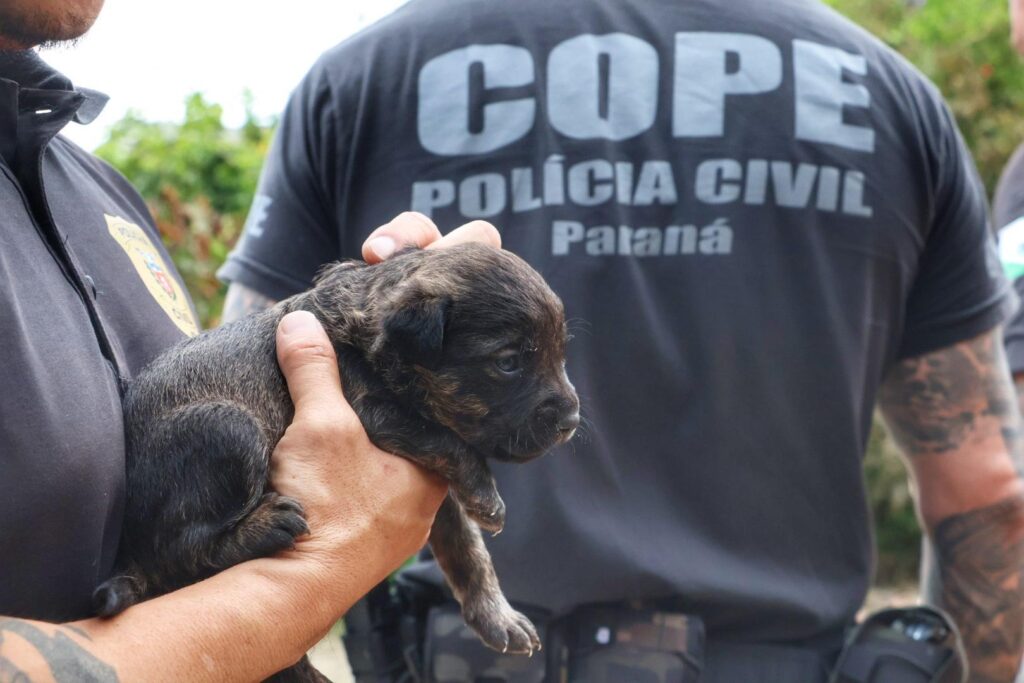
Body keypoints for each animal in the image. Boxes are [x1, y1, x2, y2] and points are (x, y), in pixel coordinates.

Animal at [93, 242, 581, 679]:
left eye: (560, 352)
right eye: (508, 362)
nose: (572, 420)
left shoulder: (437, 492)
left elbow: (467, 551)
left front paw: (498, 617)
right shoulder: (376, 413)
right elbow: (453, 444)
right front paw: (487, 496)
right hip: (229, 427)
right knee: (179, 550)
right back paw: (266, 526)